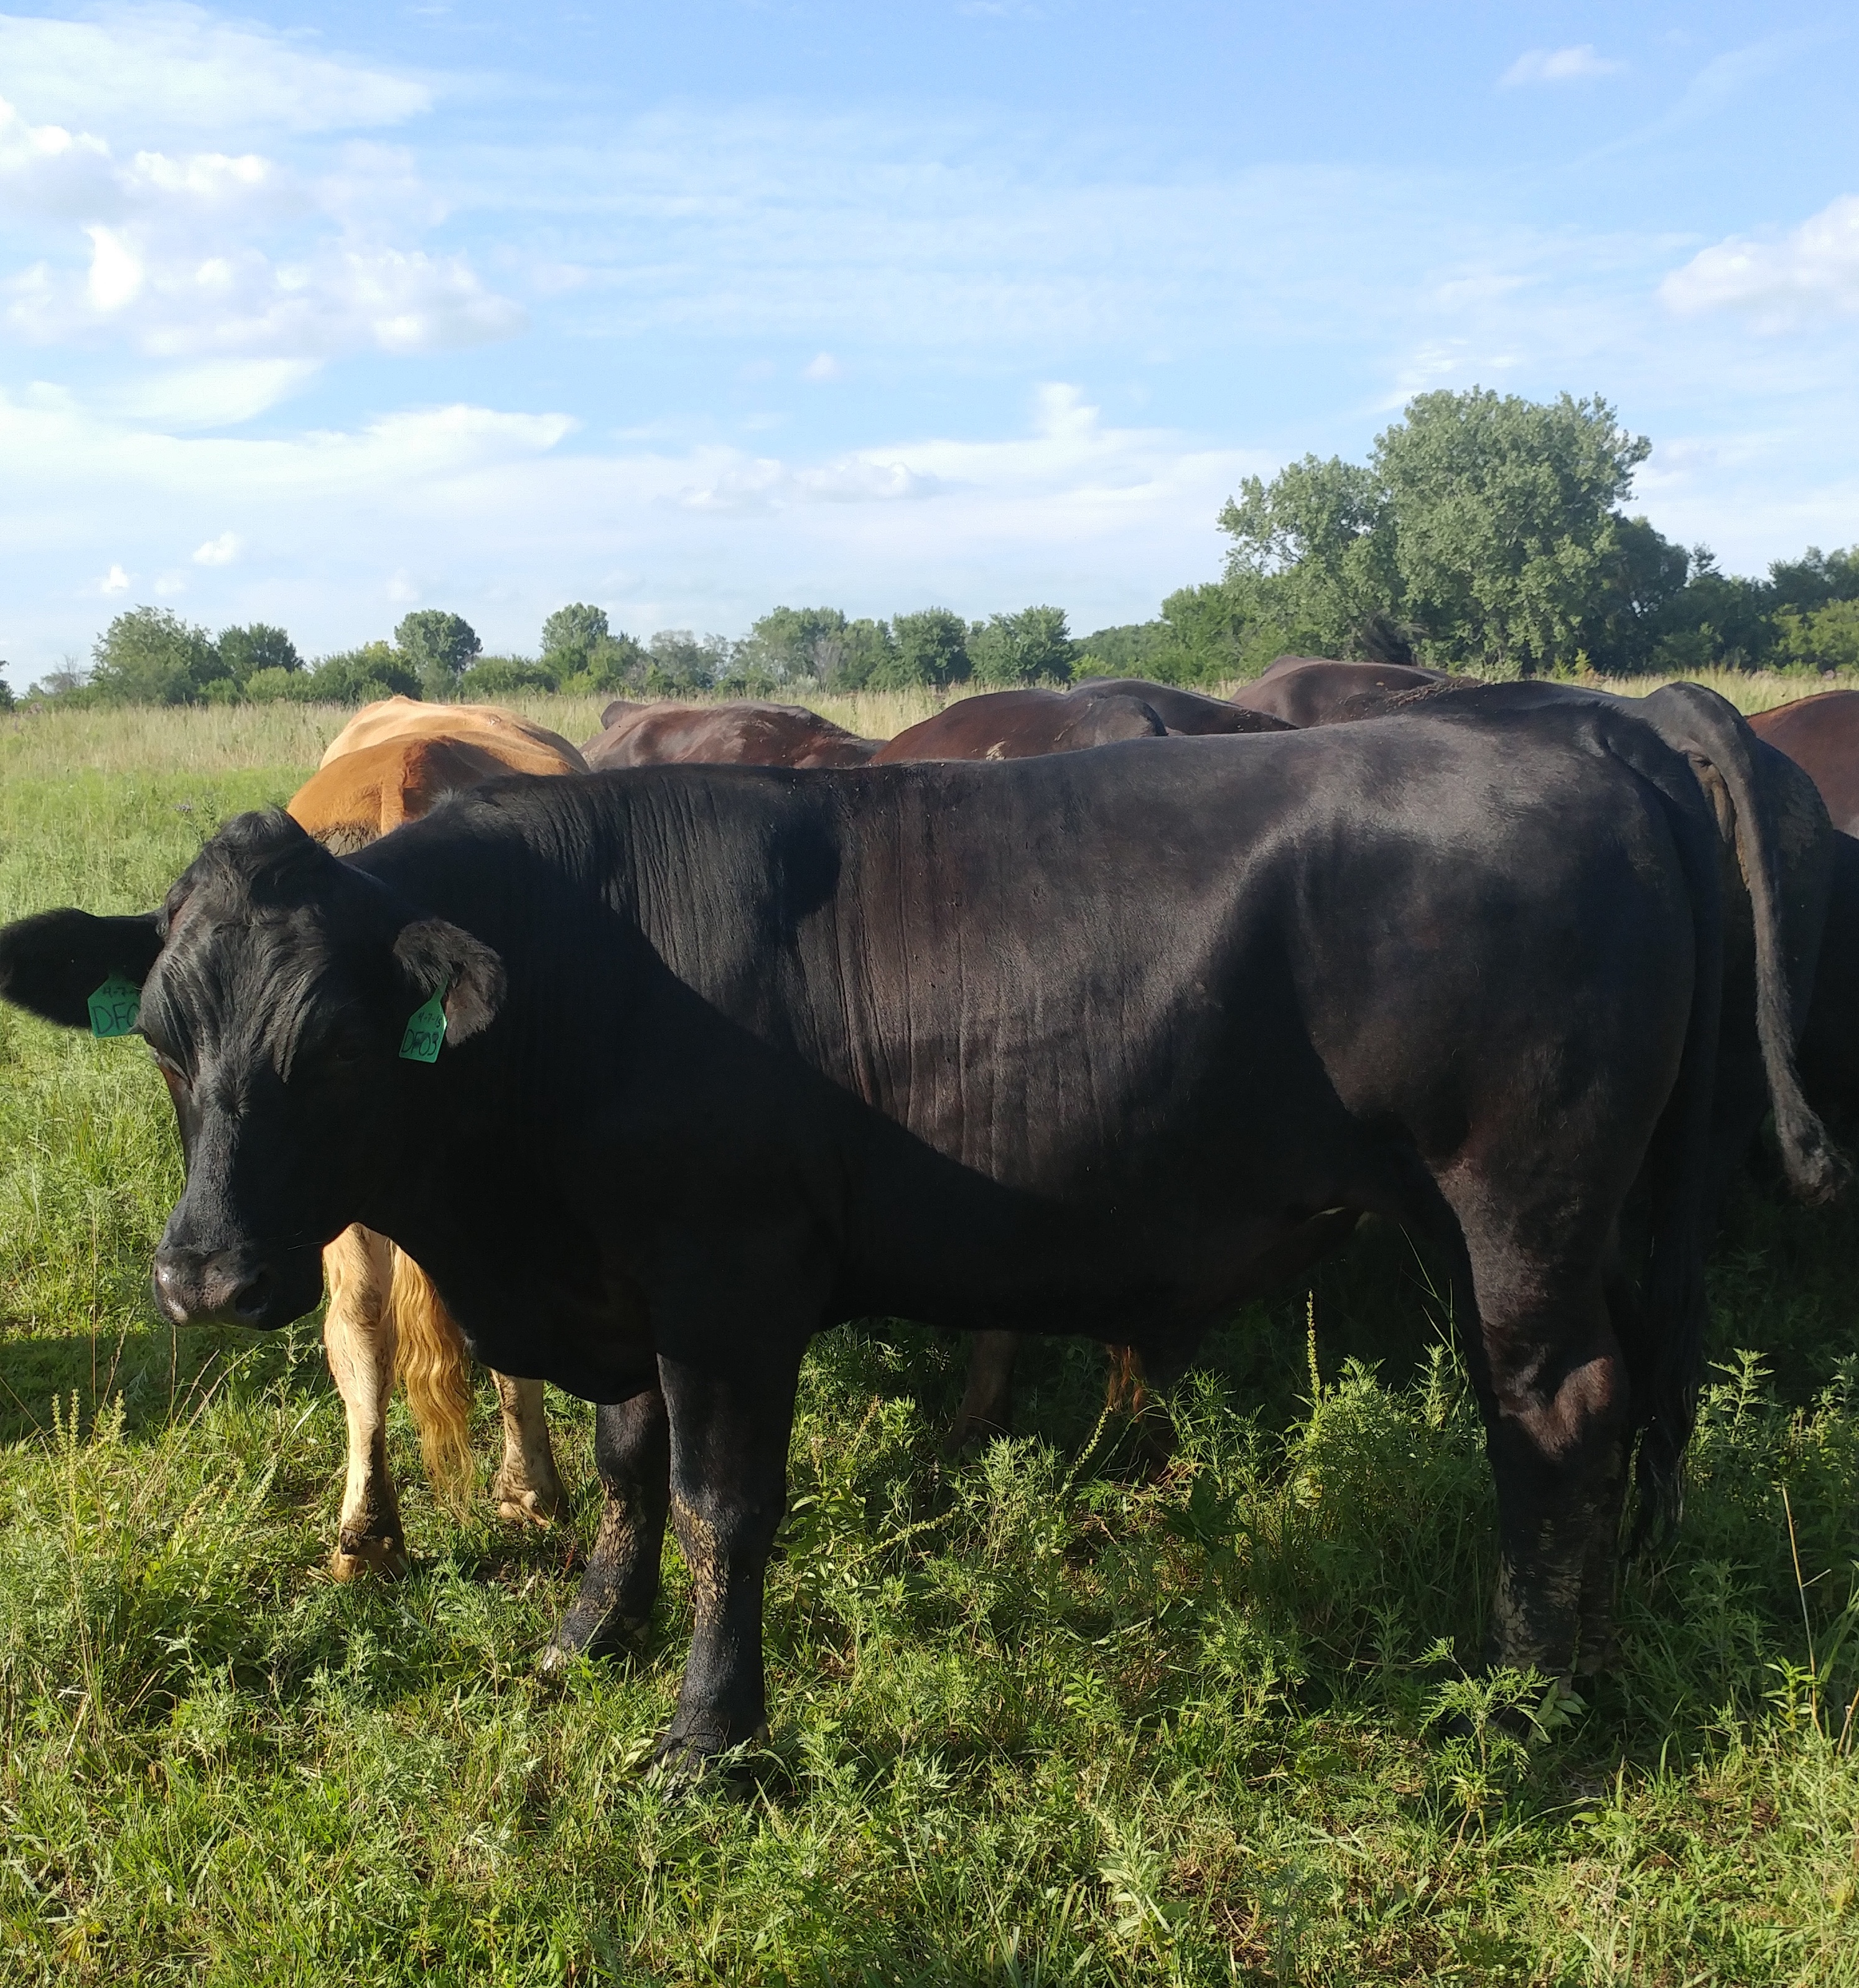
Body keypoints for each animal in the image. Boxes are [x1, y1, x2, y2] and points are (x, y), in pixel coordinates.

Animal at [0, 691, 1829, 1765]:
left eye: (331, 1046)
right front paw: (588, 1635)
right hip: (1615, 1211)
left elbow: (725, 1505)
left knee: (1551, 1410)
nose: (200, 1273)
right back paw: (1610, 1618)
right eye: (162, 1038)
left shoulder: (729, 1277)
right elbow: (626, 1470)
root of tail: (1589, 742)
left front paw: (708, 1741)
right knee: (1645, 1388)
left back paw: (1520, 1706)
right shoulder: (625, 1279)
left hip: (1509, 1201)